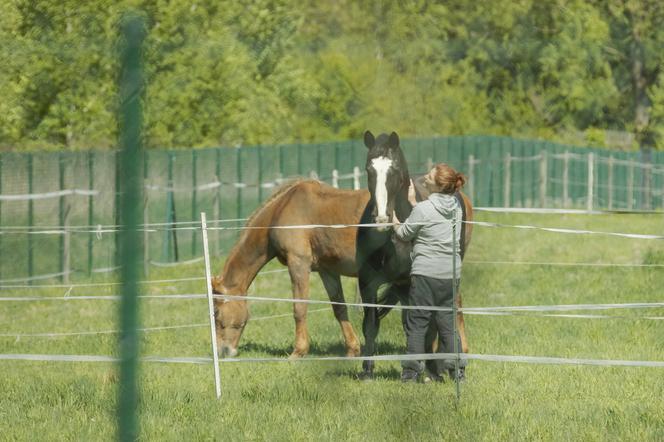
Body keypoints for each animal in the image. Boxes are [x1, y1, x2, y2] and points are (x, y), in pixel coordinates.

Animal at [358, 129, 472, 378]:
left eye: (394, 170)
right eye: (369, 169)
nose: (382, 218)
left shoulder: (416, 283)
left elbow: (422, 325)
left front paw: (427, 370)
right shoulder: (368, 283)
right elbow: (370, 324)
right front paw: (368, 370)